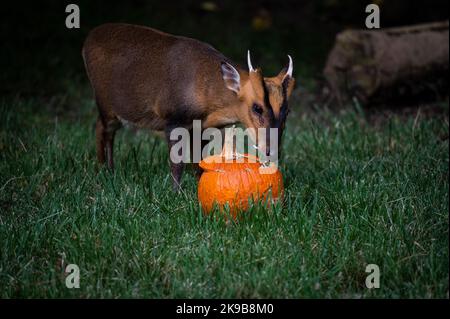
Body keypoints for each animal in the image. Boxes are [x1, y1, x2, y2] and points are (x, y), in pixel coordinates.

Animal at [82, 23, 296, 191]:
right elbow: (177, 164)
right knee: (103, 129)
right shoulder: (173, 119)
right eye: (257, 108)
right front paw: (176, 193)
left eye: (287, 111)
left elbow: (198, 160)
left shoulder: (202, 127)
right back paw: (105, 171)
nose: (271, 151)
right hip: (106, 102)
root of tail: (87, 40)